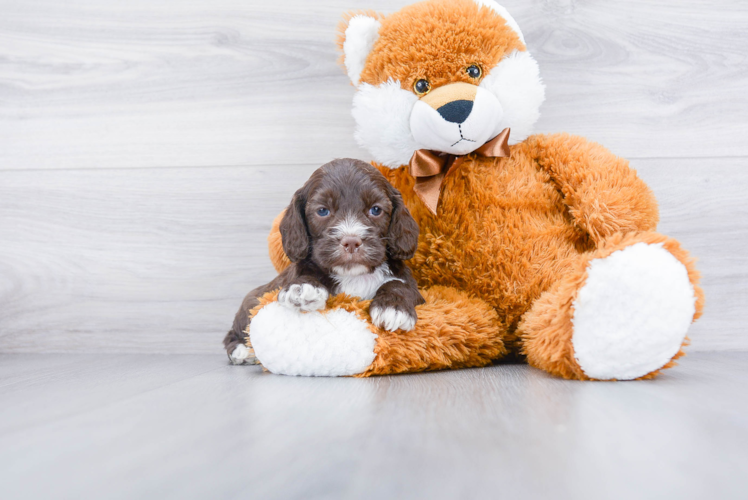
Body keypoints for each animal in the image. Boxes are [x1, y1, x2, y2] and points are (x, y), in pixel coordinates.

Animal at [222, 158, 424, 366]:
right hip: (250, 303)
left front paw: (393, 308)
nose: (351, 242)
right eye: (322, 211)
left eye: (375, 210)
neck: (352, 275)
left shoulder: (411, 285)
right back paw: (243, 351)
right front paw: (303, 288)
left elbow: (399, 285)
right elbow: (304, 275)